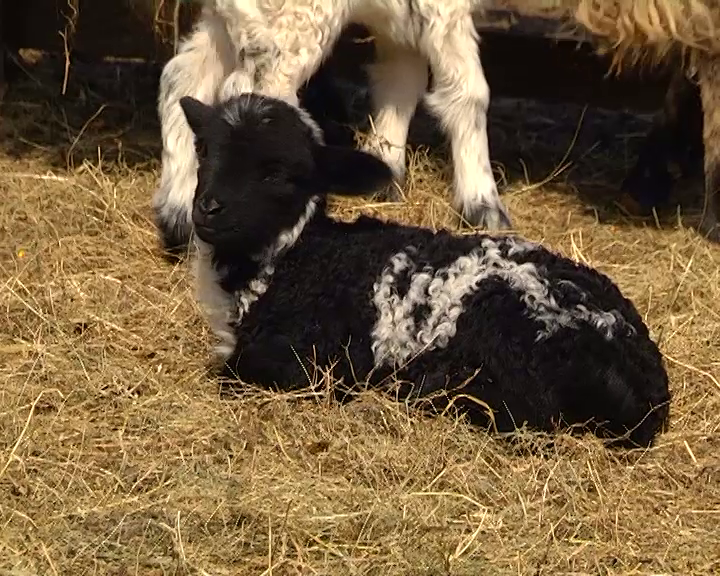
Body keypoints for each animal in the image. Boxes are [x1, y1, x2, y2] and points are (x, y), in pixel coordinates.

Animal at [153, 0, 511, 255]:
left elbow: (402, 78)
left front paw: (386, 170)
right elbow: (469, 92)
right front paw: (482, 205)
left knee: (182, 77)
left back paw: (177, 218)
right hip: (290, 18)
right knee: (256, 92)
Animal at [180, 91, 671, 448]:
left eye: (278, 174)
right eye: (202, 149)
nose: (208, 208)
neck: (299, 256)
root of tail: (646, 382)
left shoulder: (301, 362)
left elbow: (229, 376)